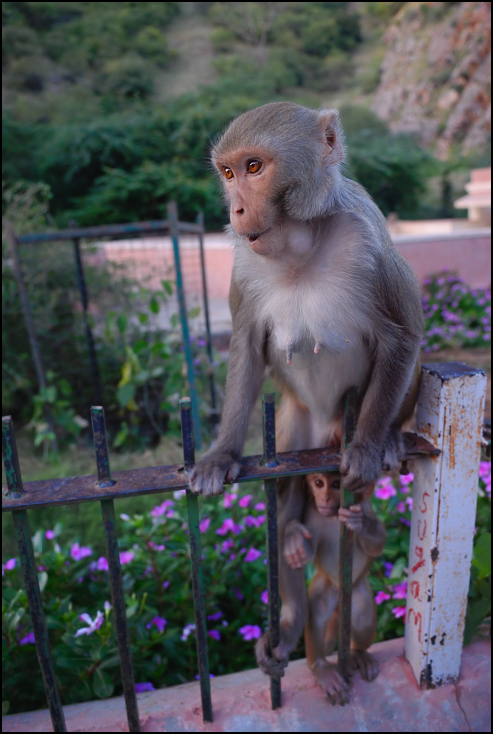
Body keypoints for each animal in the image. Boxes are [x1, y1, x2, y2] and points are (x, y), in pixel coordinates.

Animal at [189, 105, 422, 672]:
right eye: (228, 172)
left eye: (254, 167)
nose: (236, 209)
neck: (300, 247)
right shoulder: (244, 267)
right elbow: (248, 349)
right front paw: (221, 453)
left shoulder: (367, 237)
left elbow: (403, 336)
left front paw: (368, 447)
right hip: (297, 431)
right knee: (285, 500)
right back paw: (292, 616)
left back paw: (388, 437)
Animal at [280, 474, 384, 704]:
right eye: (319, 483)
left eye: (337, 485)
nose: (325, 498)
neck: (334, 516)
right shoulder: (311, 515)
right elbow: (306, 553)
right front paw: (293, 538)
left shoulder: (363, 505)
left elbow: (377, 545)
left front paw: (360, 524)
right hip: (326, 586)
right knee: (318, 615)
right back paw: (321, 668)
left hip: (355, 589)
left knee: (362, 618)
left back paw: (358, 653)